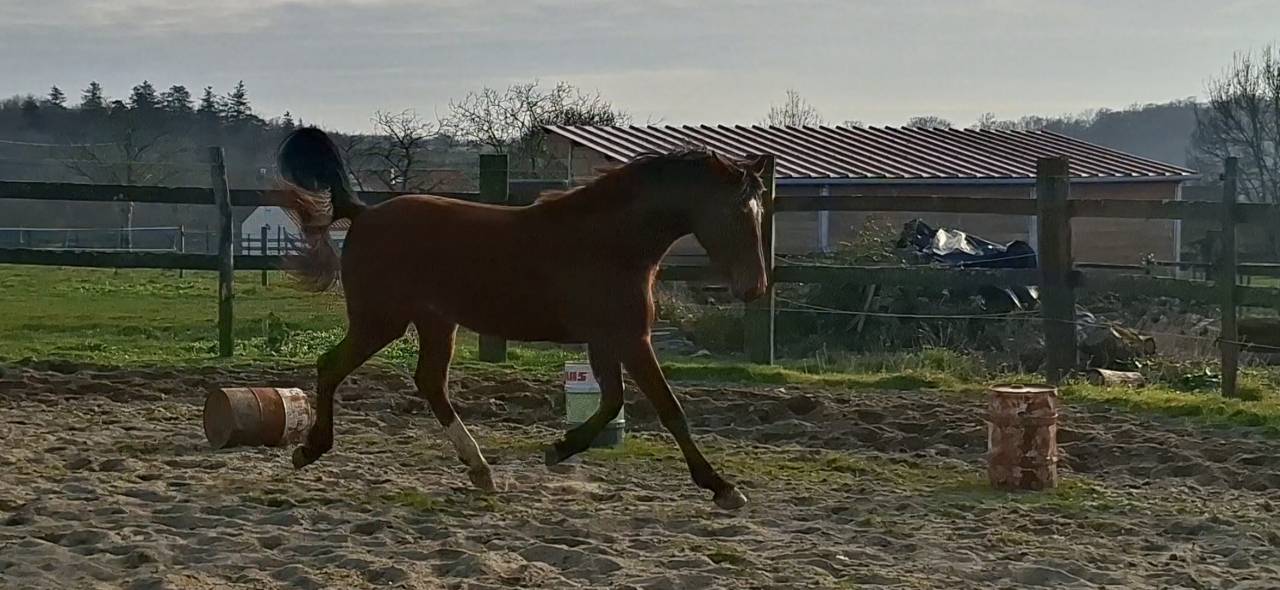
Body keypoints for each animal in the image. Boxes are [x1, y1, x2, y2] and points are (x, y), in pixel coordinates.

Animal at [275, 127, 769, 510]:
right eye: (736, 211)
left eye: (759, 212)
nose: (755, 288)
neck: (612, 241)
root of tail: (364, 213)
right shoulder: (630, 338)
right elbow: (670, 409)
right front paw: (723, 488)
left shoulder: (606, 340)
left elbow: (613, 402)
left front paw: (559, 450)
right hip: (381, 321)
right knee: (331, 366)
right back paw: (310, 450)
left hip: (435, 322)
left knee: (430, 382)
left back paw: (480, 470)